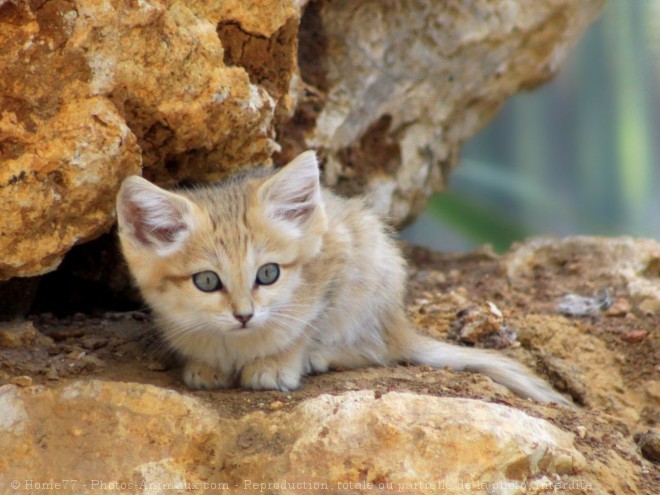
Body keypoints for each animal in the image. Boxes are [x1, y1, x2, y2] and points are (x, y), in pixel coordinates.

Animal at [118, 152, 572, 406]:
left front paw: (277, 364)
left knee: (377, 350)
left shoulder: (337, 261)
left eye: (268, 274)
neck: (237, 343)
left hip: (372, 272)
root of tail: (399, 325)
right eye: (208, 282)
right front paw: (205, 365)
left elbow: (304, 325)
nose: (244, 316)